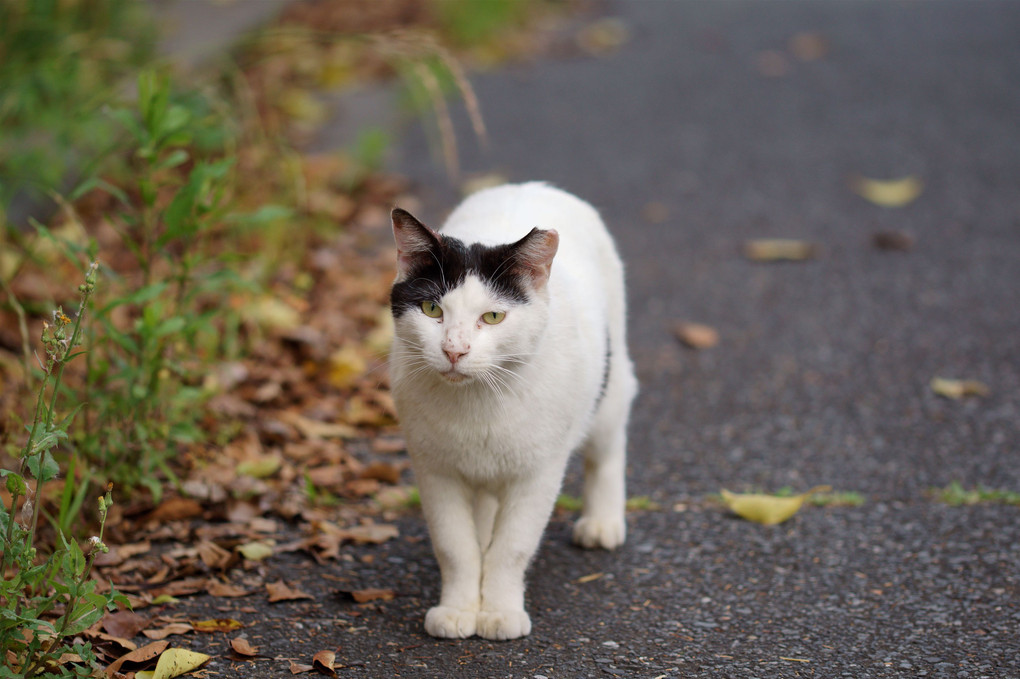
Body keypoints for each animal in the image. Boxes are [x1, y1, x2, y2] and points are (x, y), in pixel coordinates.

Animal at [385, 182, 632, 636]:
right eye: (432, 310)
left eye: (494, 316)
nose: (454, 350)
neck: (478, 401)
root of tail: (533, 185)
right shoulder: (435, 471)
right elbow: (455, 546)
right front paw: (459, 609)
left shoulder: (538, 474)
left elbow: (513, 547)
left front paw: (499, 611)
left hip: (612, 384)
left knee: (607, 449)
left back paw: (602, 523)